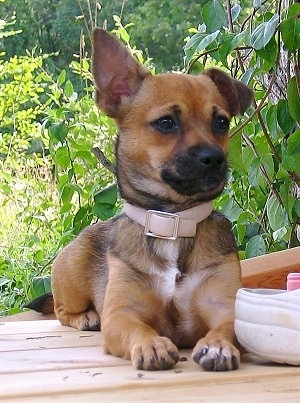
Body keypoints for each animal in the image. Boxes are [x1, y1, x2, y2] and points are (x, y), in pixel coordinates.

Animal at [28, 28, 253, 372]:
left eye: (221, 122)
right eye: (166, 122)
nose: (214, 158)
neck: (174, 222)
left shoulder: (224, 306)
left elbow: (225, 328)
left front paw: (217, 346)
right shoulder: (122, 314)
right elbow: (138, 328)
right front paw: (152, 344)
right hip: (71, 276)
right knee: (62, 311)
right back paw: (86, 318)